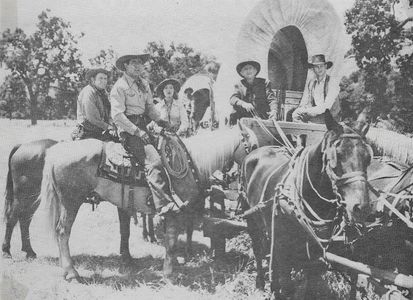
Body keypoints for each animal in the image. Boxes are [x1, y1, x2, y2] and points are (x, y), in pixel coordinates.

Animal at [241, 110, 374, 298]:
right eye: (338, 155)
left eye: (368, 158)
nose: (361, 207)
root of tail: (258, 149)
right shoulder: (283, 247)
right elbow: (286, 284)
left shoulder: (314, 254)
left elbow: (310, 286)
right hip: (251, 217)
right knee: (258, 249)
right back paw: (260, 282)